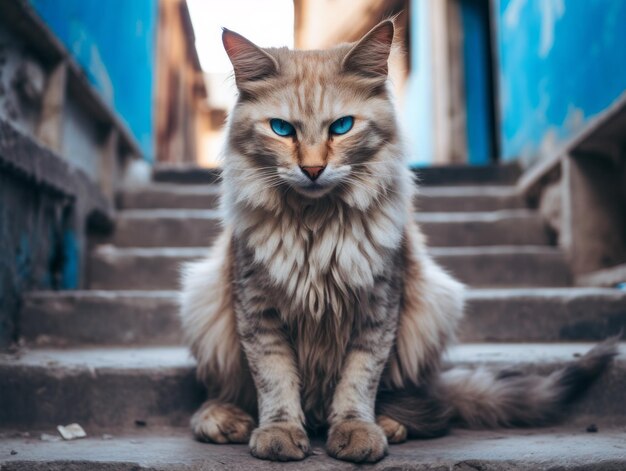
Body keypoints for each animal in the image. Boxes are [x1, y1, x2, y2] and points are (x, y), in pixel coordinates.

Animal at [178, 20, 616, 462]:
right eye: (282, 129)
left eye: (342, 126)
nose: (313, 169)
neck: (316, 227)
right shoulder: (258, 309)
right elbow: (275, 379)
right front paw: (280, 432)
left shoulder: (379, 306)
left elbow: (358, 381)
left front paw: (355, 431)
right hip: (203, 302)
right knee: (226, 391)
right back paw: (222, 419)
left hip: (434, 307)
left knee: (407, 400)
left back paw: (389, 424)